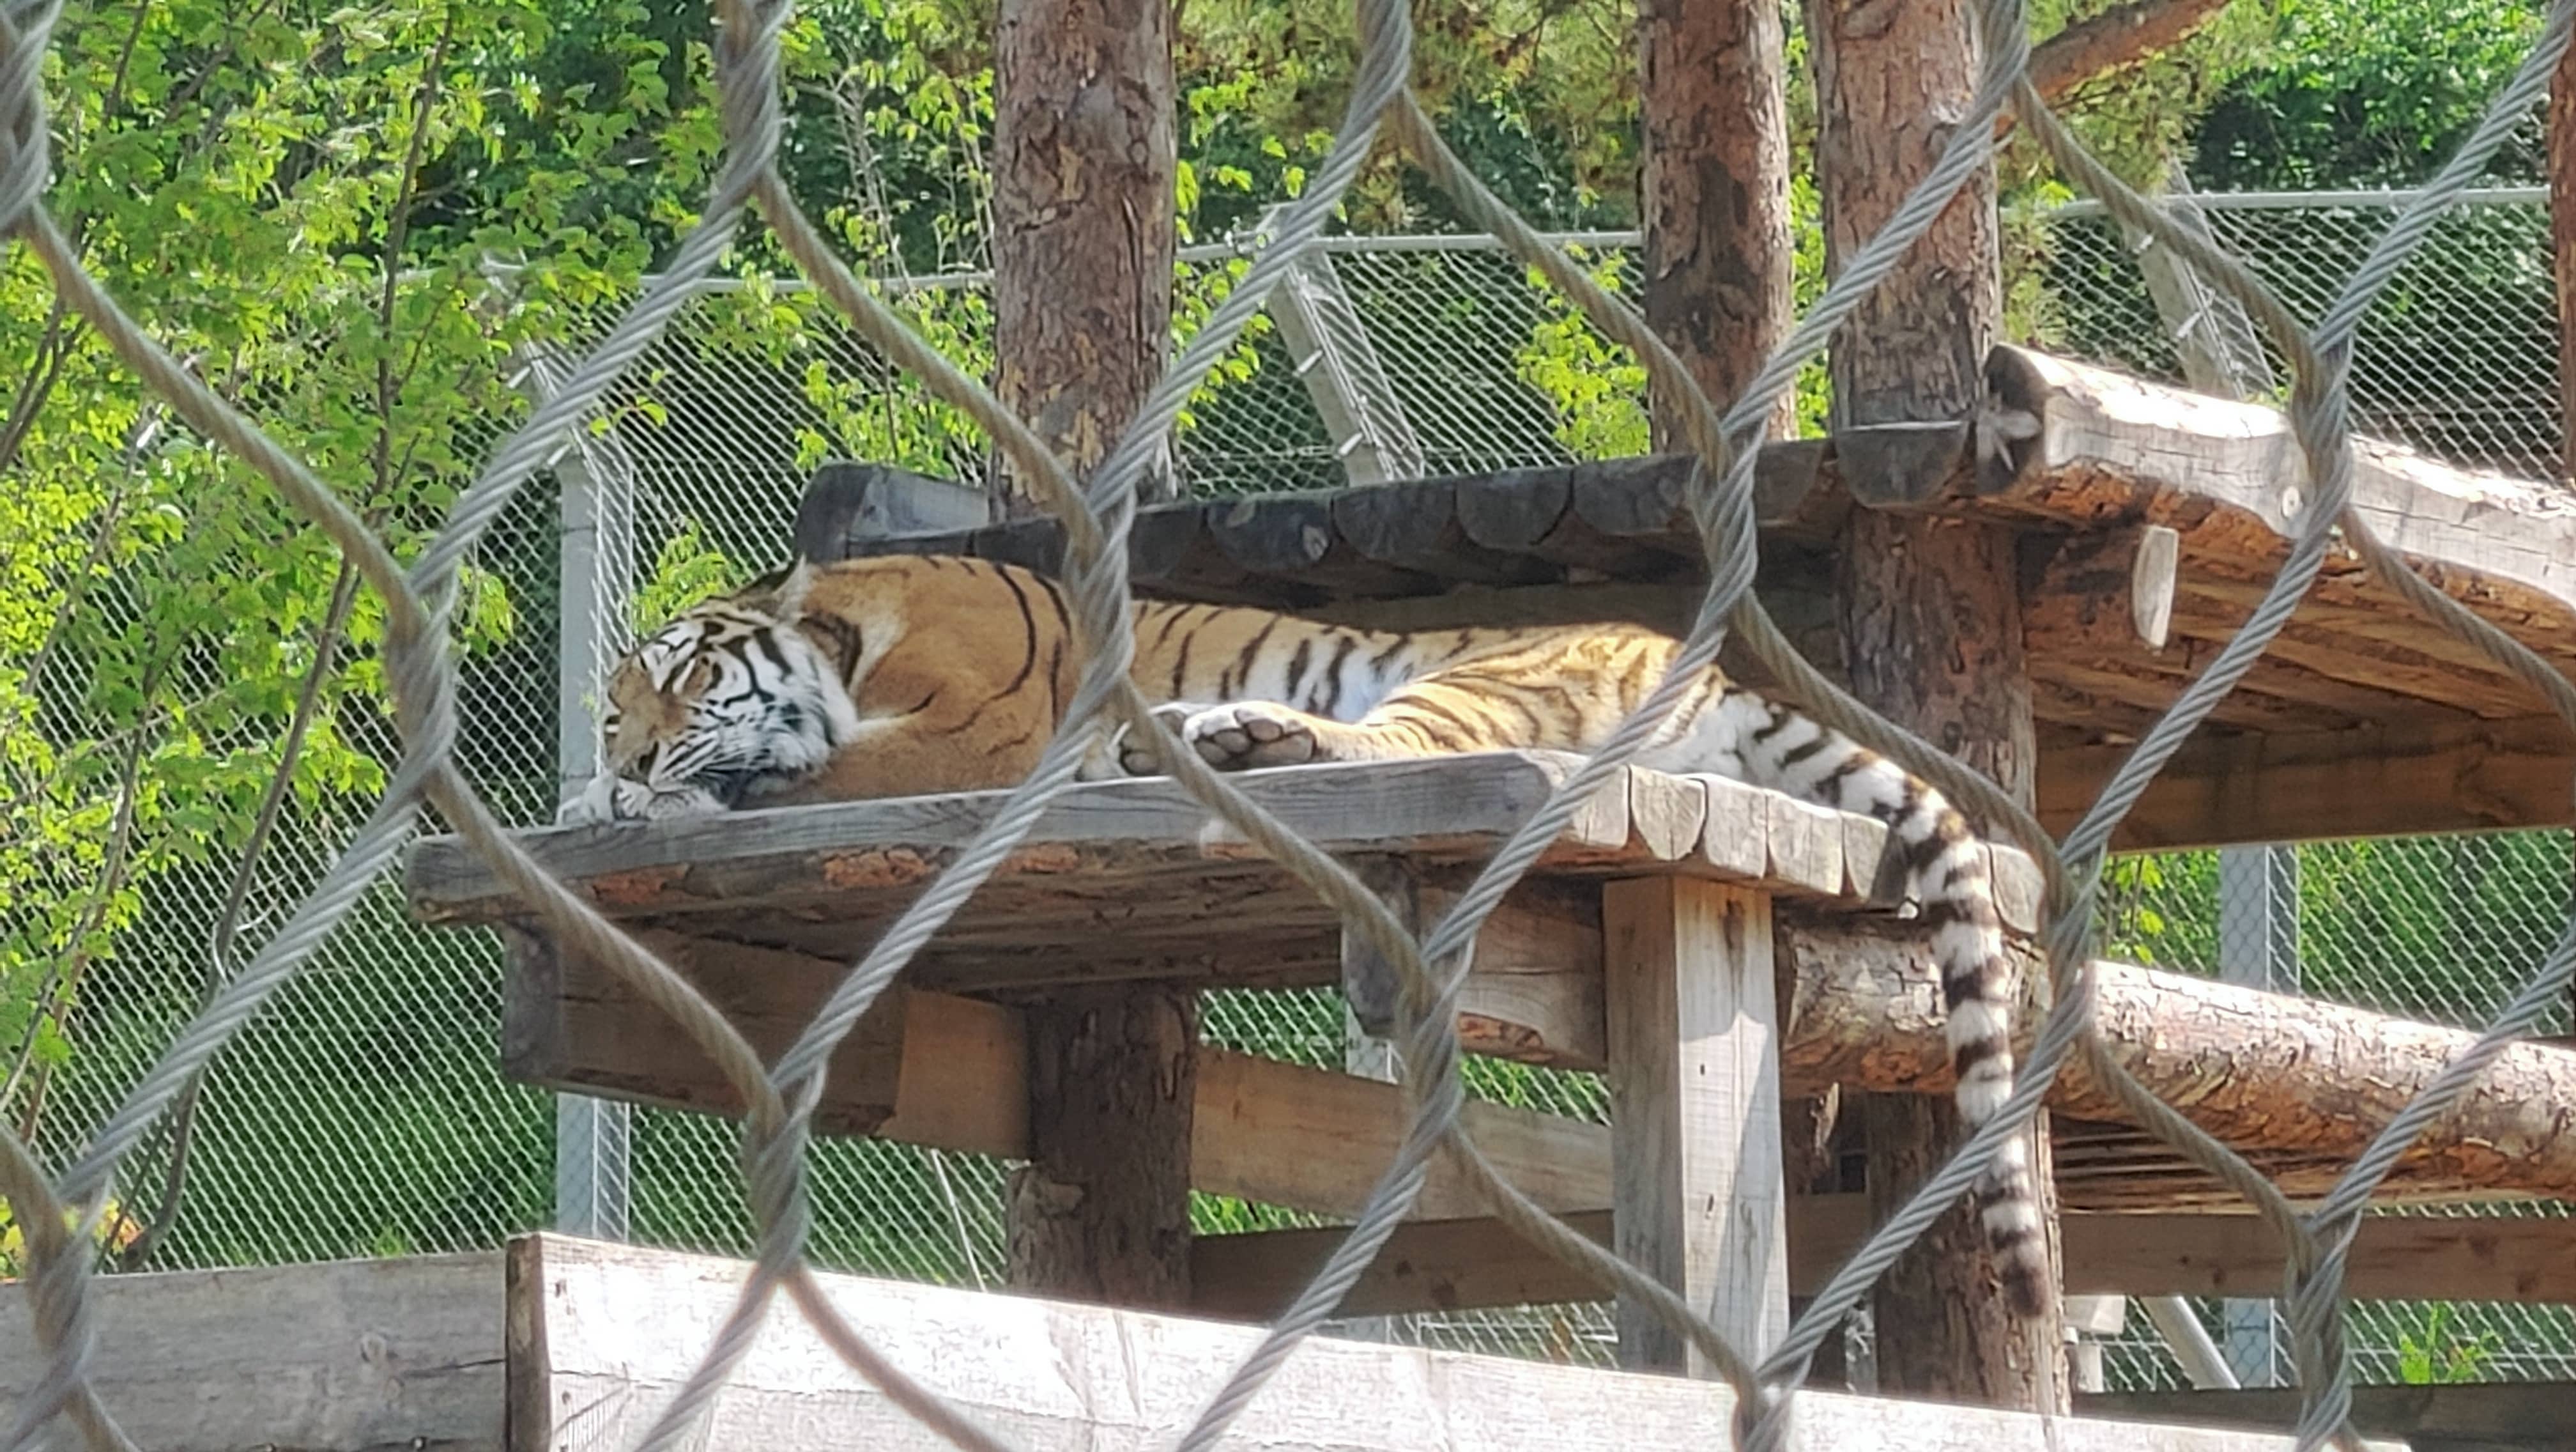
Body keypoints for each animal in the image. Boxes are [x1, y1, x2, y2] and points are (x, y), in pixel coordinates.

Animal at [562, 550, 2050, 1316]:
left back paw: (1211, 735)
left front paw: (638, 795)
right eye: (611, 700)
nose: (625, 749)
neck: (850, 632)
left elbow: (810, 773)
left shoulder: (963, 732)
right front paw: (594, 796)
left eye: (681, 677)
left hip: (1466, 687)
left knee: (1381, 741)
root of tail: (1703, 668)